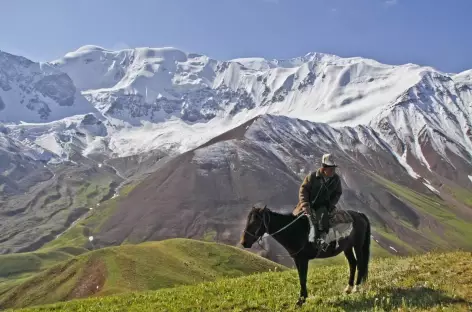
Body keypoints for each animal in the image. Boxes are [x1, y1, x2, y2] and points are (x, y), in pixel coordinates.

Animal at [242, 205, 370, 308]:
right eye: (247, 221)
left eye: (255, 222)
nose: (244, 243)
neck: (294, 231)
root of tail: (360, 214)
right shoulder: (297, 259)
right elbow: (300, 278)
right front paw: (302, 299)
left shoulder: (303, 259)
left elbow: (303, 278)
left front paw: (300, 300)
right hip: (347, 248)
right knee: (353, 263)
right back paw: (348, 288)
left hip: (358, 245)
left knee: (360, 264)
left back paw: (356, 288)